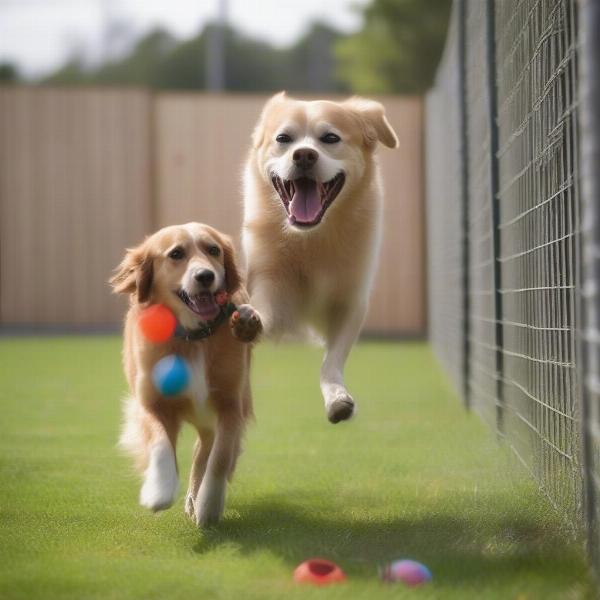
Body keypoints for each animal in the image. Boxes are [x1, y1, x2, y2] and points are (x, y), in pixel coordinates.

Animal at [111, 221, 262, 524]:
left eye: (213, 250)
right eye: (176, 254)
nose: (205, 276)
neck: (194, 335)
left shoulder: (231, 405)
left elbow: (220, 457)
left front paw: (209, 505)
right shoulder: (151, 404)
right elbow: (160, 444)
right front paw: (159, 490)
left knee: (207, 450)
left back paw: (197, 497)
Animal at [241, 92, 396, 422]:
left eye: (330, 138)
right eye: (283, 139)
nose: (303, 156)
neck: (310, 237)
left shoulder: (349, 301)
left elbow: (332, 360)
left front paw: (338, 398)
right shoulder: (270, 281)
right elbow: (263, 310)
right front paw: (250, 321)